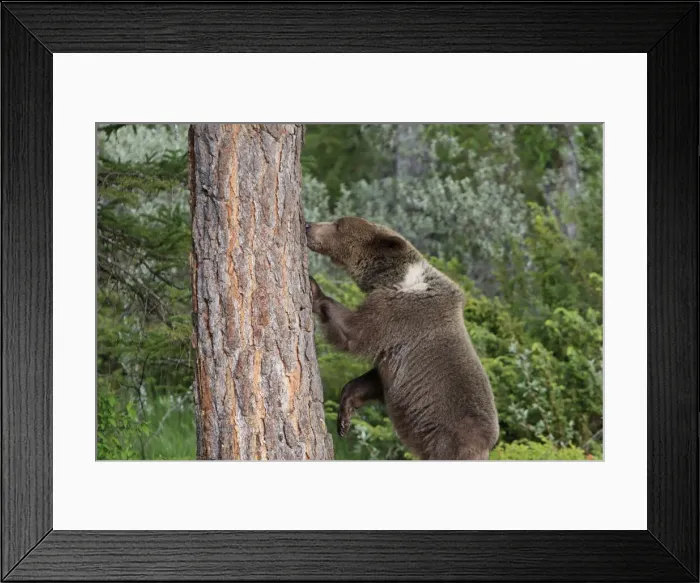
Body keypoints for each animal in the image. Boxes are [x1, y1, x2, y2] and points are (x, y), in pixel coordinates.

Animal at [305, 216, 499, 460]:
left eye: (339, 225)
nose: (307, 225)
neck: (396, 278)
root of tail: (486, 446)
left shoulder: (399, 313)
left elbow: (354, 333)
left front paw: (314, 288)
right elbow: (371, 379)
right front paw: (344, 417)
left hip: (449, 442)